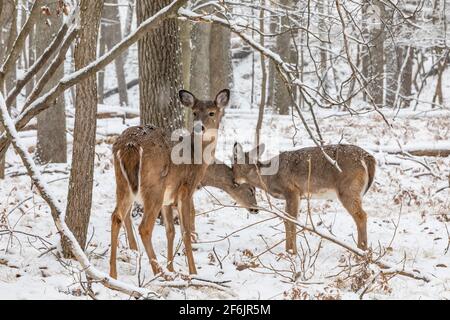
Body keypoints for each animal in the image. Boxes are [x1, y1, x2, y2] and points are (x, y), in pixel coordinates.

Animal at [110, 87, 232, 278]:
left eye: (212, 112)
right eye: (194, 112)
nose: (199, 127)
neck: (196, 158)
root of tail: (130, 145)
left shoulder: (168, 199)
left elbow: (170, 231)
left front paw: (172, 268)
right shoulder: (185, 190)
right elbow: (186, 231)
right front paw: (192, 272)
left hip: (122, 183)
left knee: (116, 216)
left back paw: (113, 274)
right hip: (153, 187)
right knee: (144, 227)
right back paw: (159, 272)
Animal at [122, 161, 260, 272]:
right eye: (251, 190)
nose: (256, 209)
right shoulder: (186, 191)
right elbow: (192, 213)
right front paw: (194, 238)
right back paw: (133, 248)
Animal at [232, 144, 376, 254]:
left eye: (233, 166)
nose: (234, 181)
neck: (269, 178)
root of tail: (368, 157)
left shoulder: (292, 190)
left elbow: (292, 221)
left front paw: (292, 252)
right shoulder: (295, 196)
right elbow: (286, 220)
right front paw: (287, 251)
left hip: (348, 190)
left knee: (361, 216)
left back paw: (361, 251)